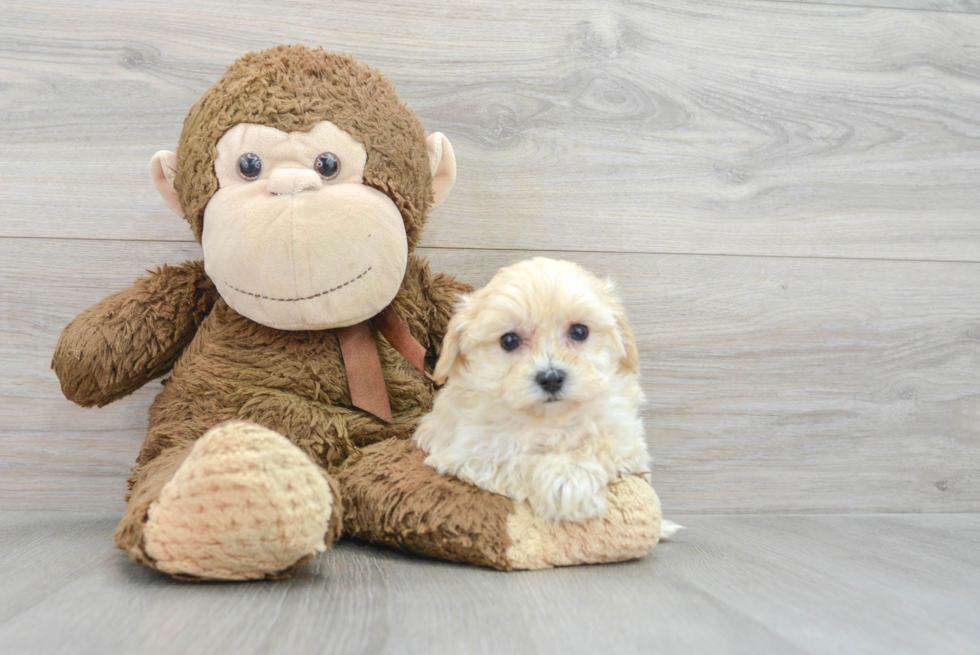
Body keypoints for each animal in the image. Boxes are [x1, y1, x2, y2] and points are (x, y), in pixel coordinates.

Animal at [414, 256, 652, 524]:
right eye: (509, 341)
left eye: (579, 331)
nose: (551, 378)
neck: (548, 420)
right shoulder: (470, 451)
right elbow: (517, 457)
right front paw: (565, 482)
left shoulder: (625, 438)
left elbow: (601, 442)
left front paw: (572, 474)